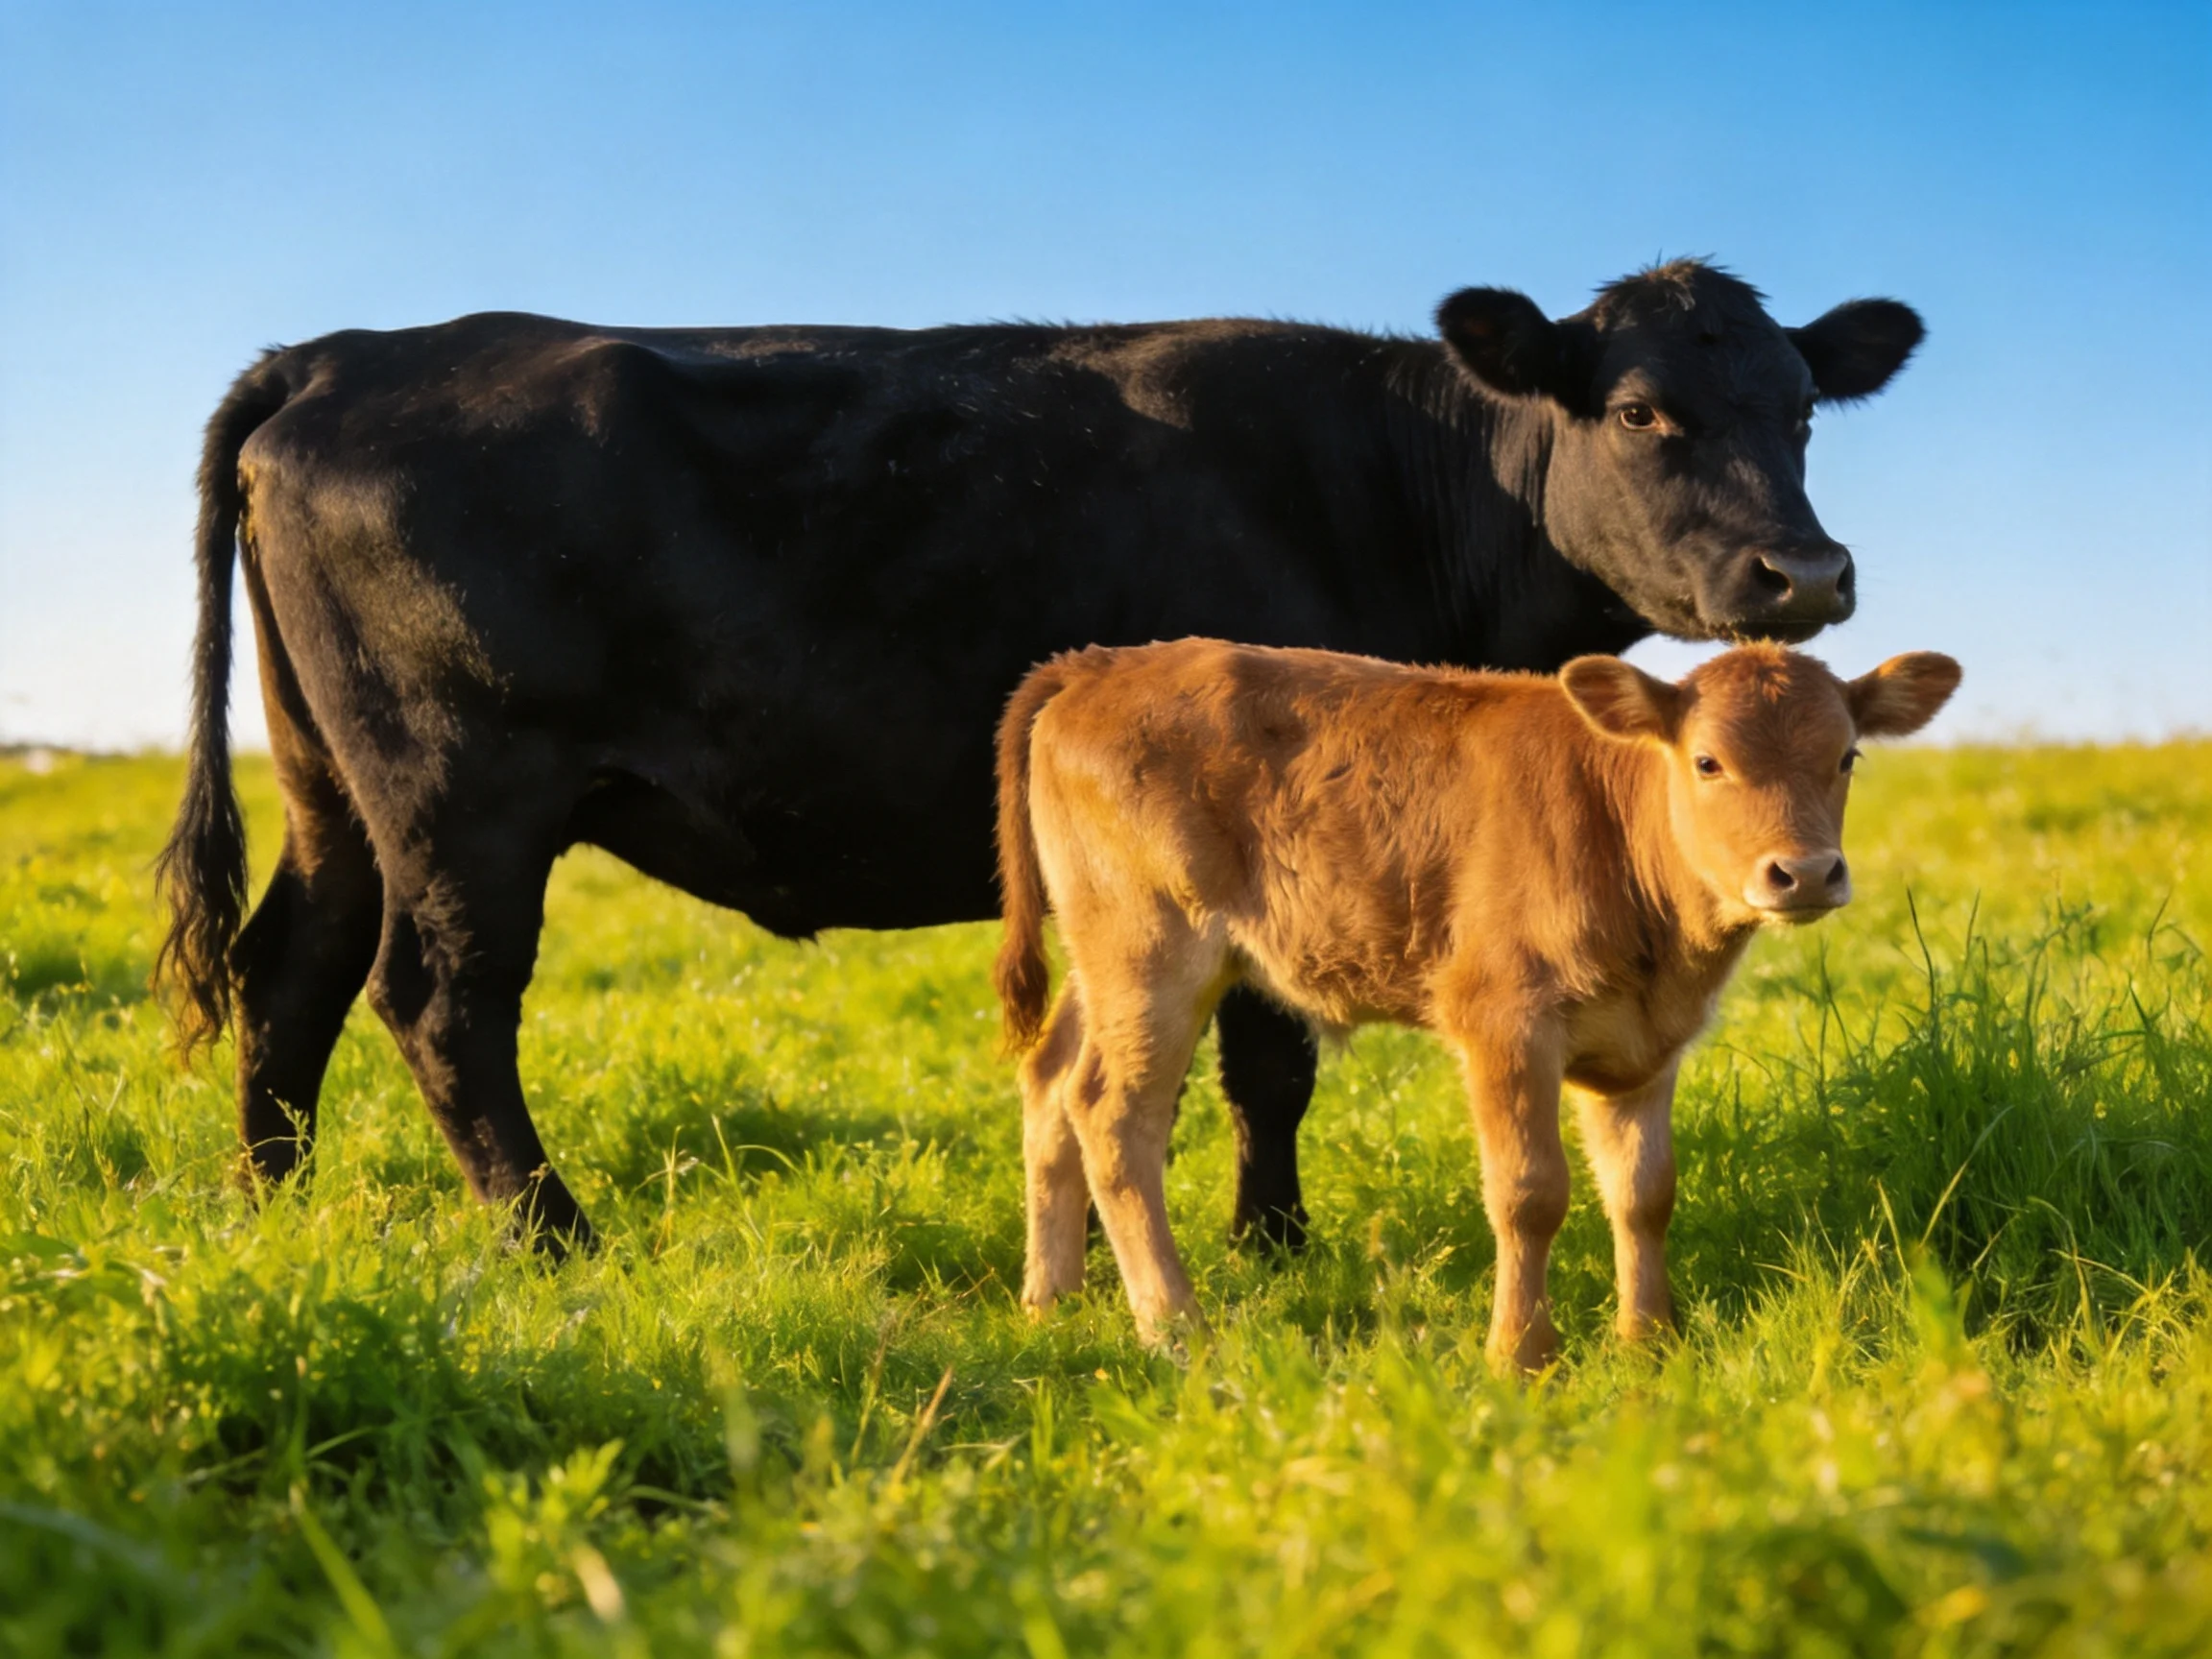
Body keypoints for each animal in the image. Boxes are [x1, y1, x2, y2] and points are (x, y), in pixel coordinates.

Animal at [156, 261, 1925, 1252]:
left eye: (1800, 409)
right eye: (1637, 411)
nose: (1804, 574)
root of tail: (344, 351)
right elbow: (1269, 1057)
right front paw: (1274, 1246)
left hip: (334, 791)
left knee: (289, 974)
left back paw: (266, 1212)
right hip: (463, 796)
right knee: (438, 1004)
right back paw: (552, 1239)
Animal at [993, 639, 1960, 1369]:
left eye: (1846, 756)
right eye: (1708, 760)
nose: (1804, 873)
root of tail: (1099, 662)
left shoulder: (1643, 1047)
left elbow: (1645, 1192)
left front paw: (1650, 1341)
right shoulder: (1503, 1022)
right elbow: (1530, 1193)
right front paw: (1521, 1353)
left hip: (1103, 959)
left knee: (1051, 1079)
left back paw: (1051, 1299)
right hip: (1152, 950)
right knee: (1113, 1113)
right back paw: (1175, 1328)